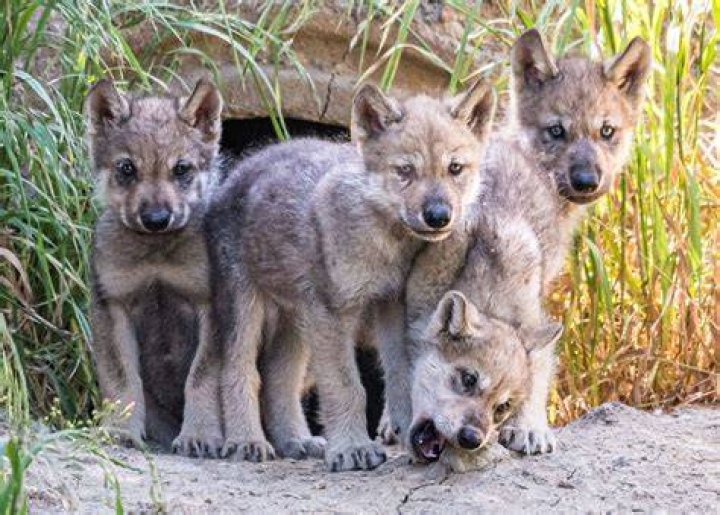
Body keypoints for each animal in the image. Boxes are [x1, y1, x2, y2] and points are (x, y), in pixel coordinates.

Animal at [86, 79, 224, 452]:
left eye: (181, 169)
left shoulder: (210, 306)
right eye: (126, 169)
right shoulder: (113, 306)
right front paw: (120, 431)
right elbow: (123, 379)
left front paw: (199, 435)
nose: (156, 219)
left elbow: (201, 378)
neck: (157, 254)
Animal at [193, 81, 495, 471]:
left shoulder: (390, 305)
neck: (386, 240)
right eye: (405, 171)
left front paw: (411, 432)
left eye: (455, 168)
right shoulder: (333, 314)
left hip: (297, 322)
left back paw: (296, 440)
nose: (438, 215)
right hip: (245, 310)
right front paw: (353, 448)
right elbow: (348, 387)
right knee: (241, 372)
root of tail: (236, 171)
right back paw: (247, 442)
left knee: (279, 379)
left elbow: (401, 376)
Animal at [384, 30, 651, 455]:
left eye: (607, 131)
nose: (586, 181)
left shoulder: (534, 318)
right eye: (557, 130)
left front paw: (528, 427)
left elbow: (535, 377)